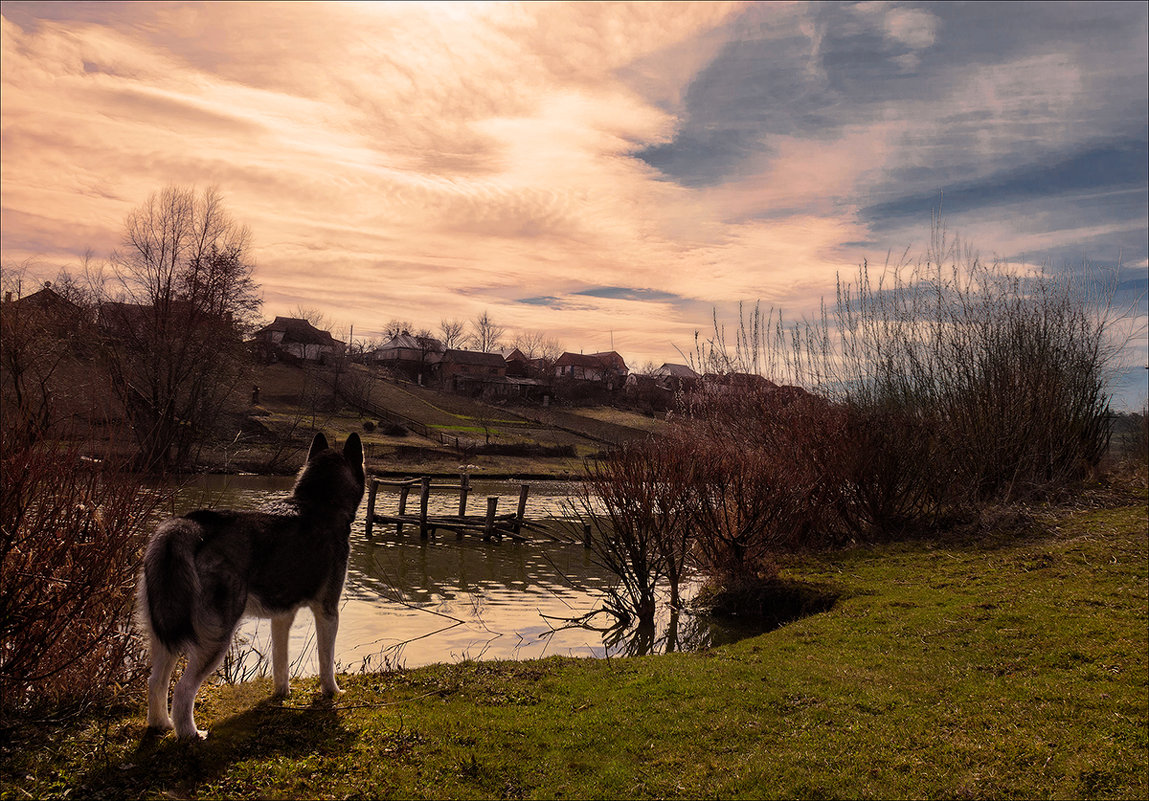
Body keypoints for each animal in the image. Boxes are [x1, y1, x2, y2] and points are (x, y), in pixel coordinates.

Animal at [140, 434, 363, 740]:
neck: (318, 503)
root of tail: (191, 525)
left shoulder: (282, 617)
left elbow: (281, 663)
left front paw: (282, 694)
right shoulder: (328, 611)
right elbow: (326, 661)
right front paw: (332, 692)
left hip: (166, 634)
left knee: (156, 682)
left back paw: (161, 724)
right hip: (215, 638)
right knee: (184, 689)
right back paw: (191, 735)